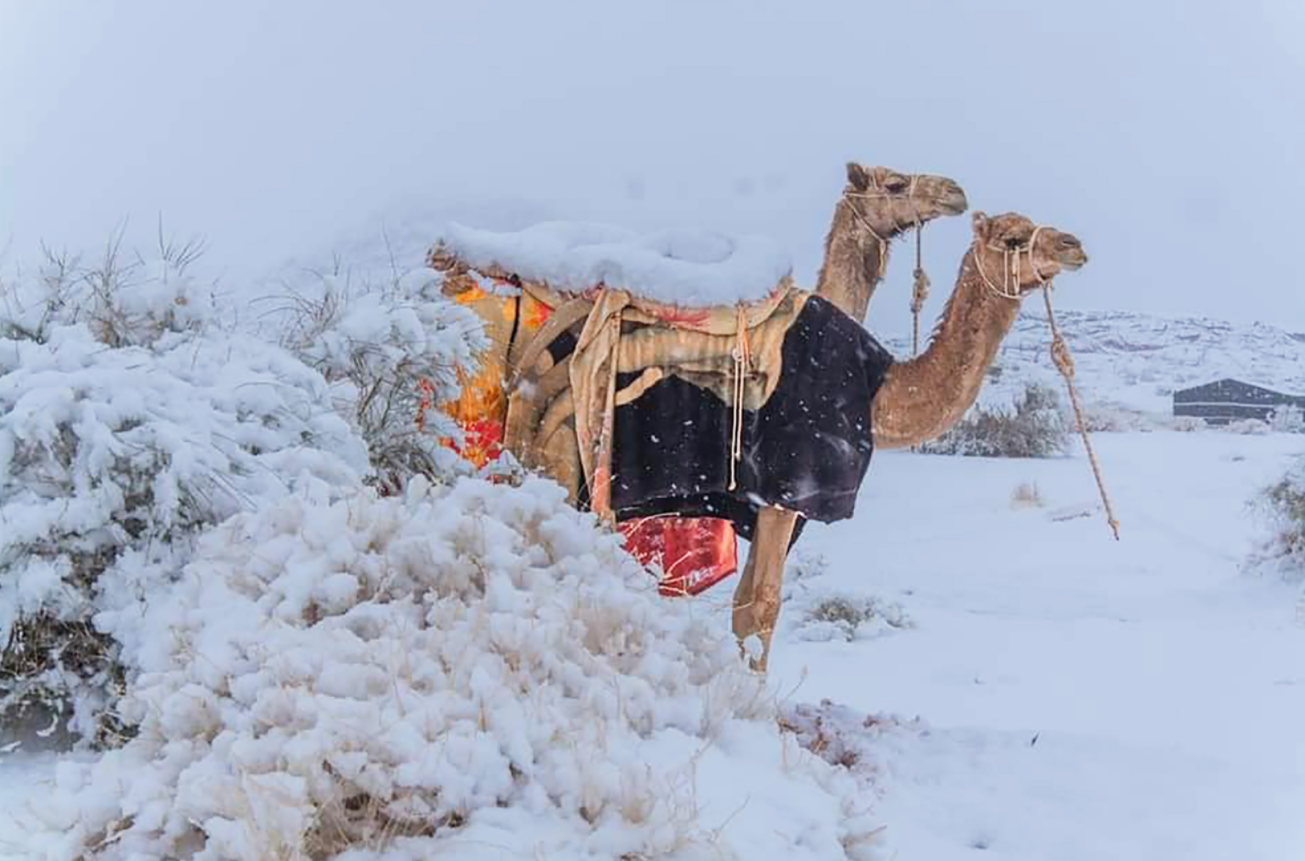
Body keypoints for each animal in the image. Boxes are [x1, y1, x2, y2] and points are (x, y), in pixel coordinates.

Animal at [736, 211, 1090, 667]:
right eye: (1013, 238)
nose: (1072, 245)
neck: (875, 387)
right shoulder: (785, 486)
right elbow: (760, 609)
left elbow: (742, 605)